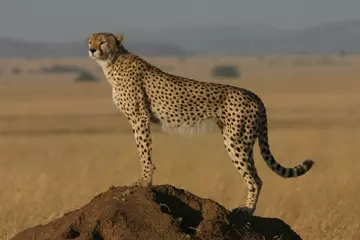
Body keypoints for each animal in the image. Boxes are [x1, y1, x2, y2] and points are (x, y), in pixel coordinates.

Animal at [88, 31, 314, 216]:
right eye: (91, 41)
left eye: (103, 42)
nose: (91, 49)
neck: (112, 62)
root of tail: (254, 95)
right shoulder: (138, 118)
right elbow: (144, 150)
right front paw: (145, 179)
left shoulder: (139, 118)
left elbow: (144, 151)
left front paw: (144, 181)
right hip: (242, 139)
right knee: (255, 176)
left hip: (236, 140)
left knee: (255, 179)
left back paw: (247, 210)